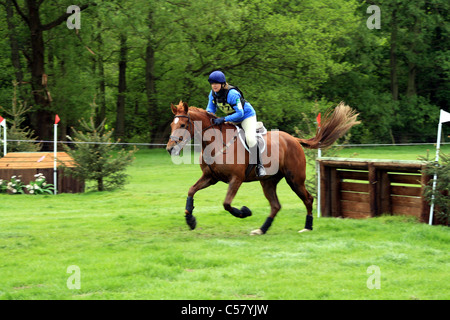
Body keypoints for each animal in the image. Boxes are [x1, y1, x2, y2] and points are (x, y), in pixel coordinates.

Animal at [165, 101, 358, 234]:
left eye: (183, 125)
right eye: (172, 125)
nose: (170, 148)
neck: (216, 142)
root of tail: (294, 139)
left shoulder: (236, 179)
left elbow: (227, 203)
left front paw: (244, 211)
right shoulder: (210, 177)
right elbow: (191, 190)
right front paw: (190, 219)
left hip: (294, 179)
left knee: (308, 199)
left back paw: (307, 227)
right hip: (268, 181)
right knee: (276, 206)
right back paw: (262, 229)